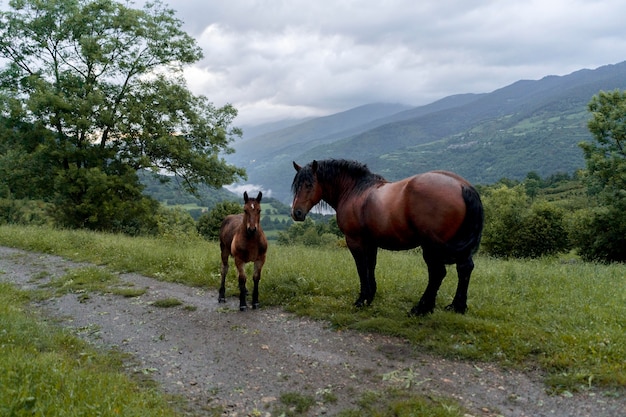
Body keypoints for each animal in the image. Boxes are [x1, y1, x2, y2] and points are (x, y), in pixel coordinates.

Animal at [292, 158, 482, 314]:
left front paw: (361, 300)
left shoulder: (355, 241)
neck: (355, 190)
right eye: (296, 186)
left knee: (437, 273)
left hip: (431, 247)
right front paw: (370, 297)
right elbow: (371, 266)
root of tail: (462, 186)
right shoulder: (371, 242)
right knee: (464, 268)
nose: (296, 213)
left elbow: (361, 268)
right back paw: (457, 307)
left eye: (309, 184)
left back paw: (421, 308)